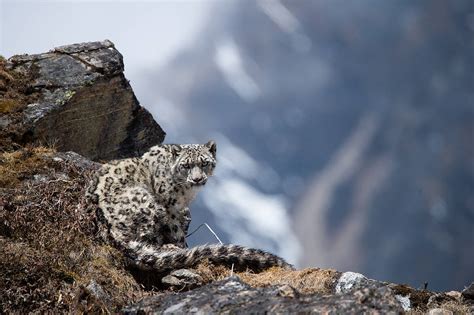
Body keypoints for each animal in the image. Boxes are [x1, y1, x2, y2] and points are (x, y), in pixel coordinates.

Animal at [86, 141, 290, 274]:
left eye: (204, 163)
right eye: (186, 165)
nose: (197, 179)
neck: (186, 193)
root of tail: (108, 228)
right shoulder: (170, 206)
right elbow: (177, 231)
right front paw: (182, 246)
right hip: (148, 204)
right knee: (146, 237)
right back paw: (168, 247)